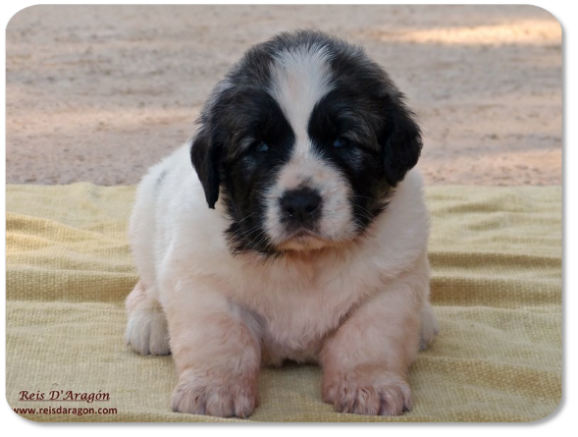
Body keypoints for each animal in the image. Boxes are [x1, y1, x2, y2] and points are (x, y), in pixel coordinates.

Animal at [122, 29, 436, 418]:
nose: (300, 204)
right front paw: (214, 389)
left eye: (342, 141)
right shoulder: (199, 279)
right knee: (146, 286)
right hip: (147, 215)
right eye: (258, 147)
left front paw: (368, 385)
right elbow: (220, 337)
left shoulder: (392, 283)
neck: (305, 261)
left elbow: (368, 336)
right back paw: (151, 321)